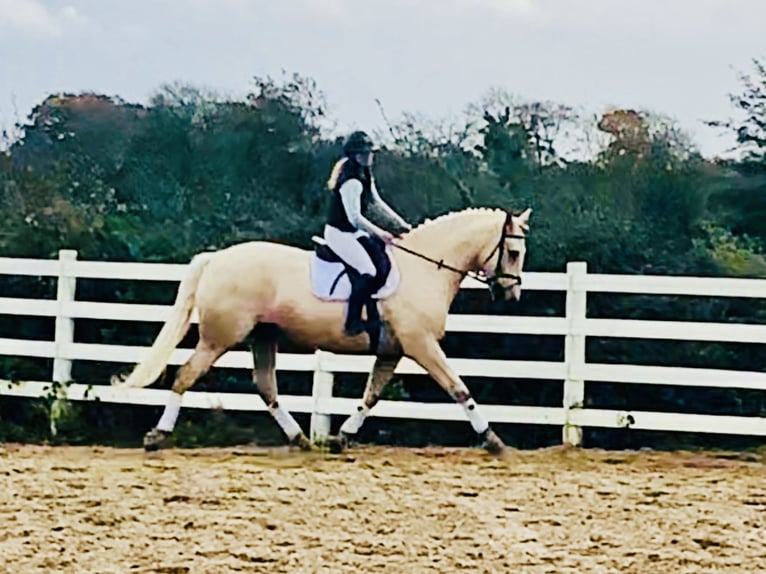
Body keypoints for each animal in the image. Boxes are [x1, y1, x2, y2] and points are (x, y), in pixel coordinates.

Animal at [112, 206, 532, 454]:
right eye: (512, 252)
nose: (511, 293)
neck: (425, 268)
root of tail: (215, 259)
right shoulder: (421, 345)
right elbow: (458, 388)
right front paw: (492, 439)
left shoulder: (392, 351)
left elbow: (371, 396)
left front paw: (341, 436)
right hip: (219, 338)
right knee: (186, 375)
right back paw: (157, 436)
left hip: (262, 338)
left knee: (265, 386)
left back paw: (299, 438)